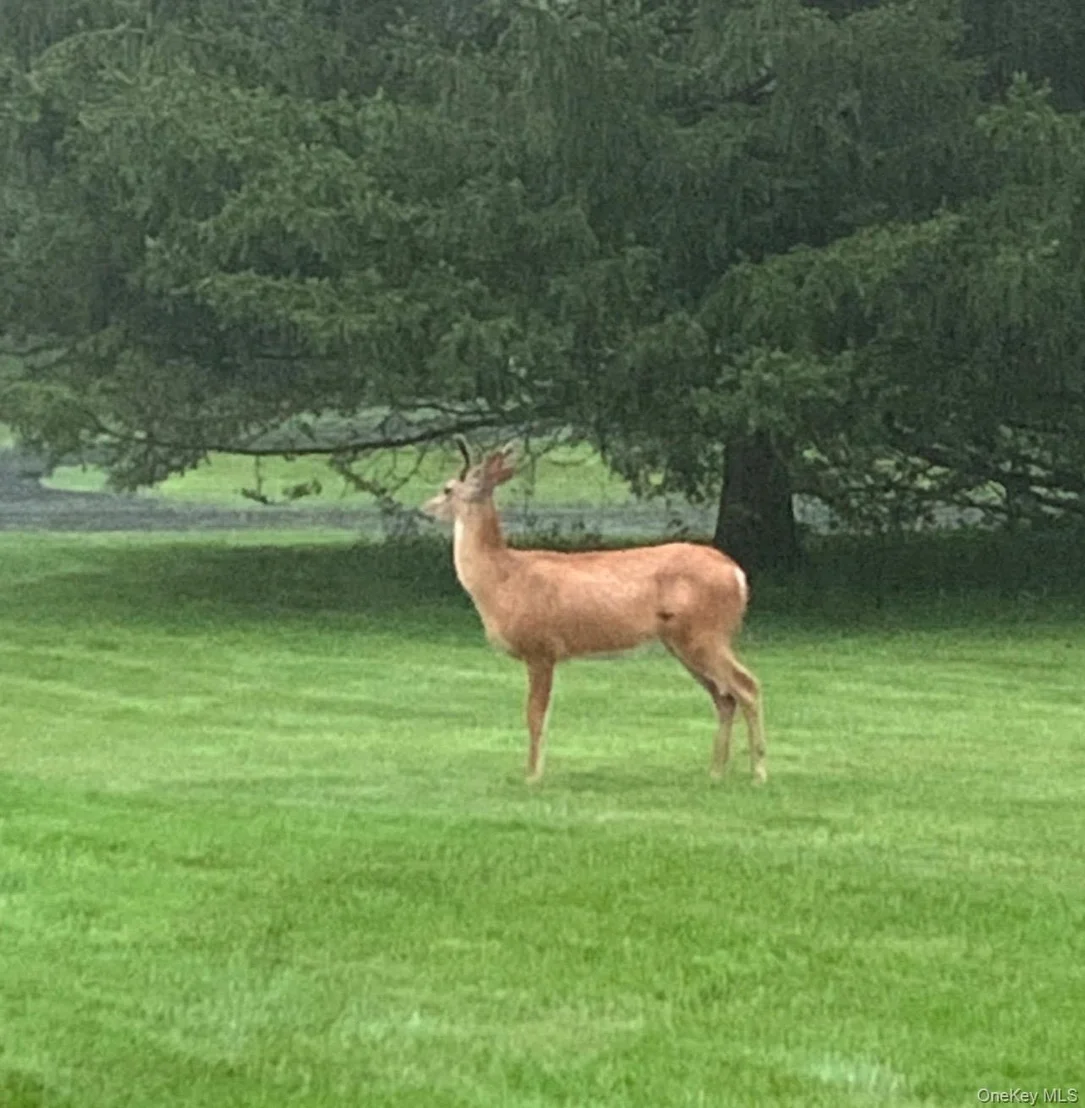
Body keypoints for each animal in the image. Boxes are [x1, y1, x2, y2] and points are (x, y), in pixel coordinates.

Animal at [421, 437, 765, 785]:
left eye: (447, 489)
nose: (423, 511)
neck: (502, 580)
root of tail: (737, 574)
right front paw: (535, 772)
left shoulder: (541, 647)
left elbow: (535, 715)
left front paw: (532, 776)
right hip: (683, 642)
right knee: (724, 697)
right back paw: (716, 773)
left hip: (705, 633)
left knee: (747, 686)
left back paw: (759, 773)